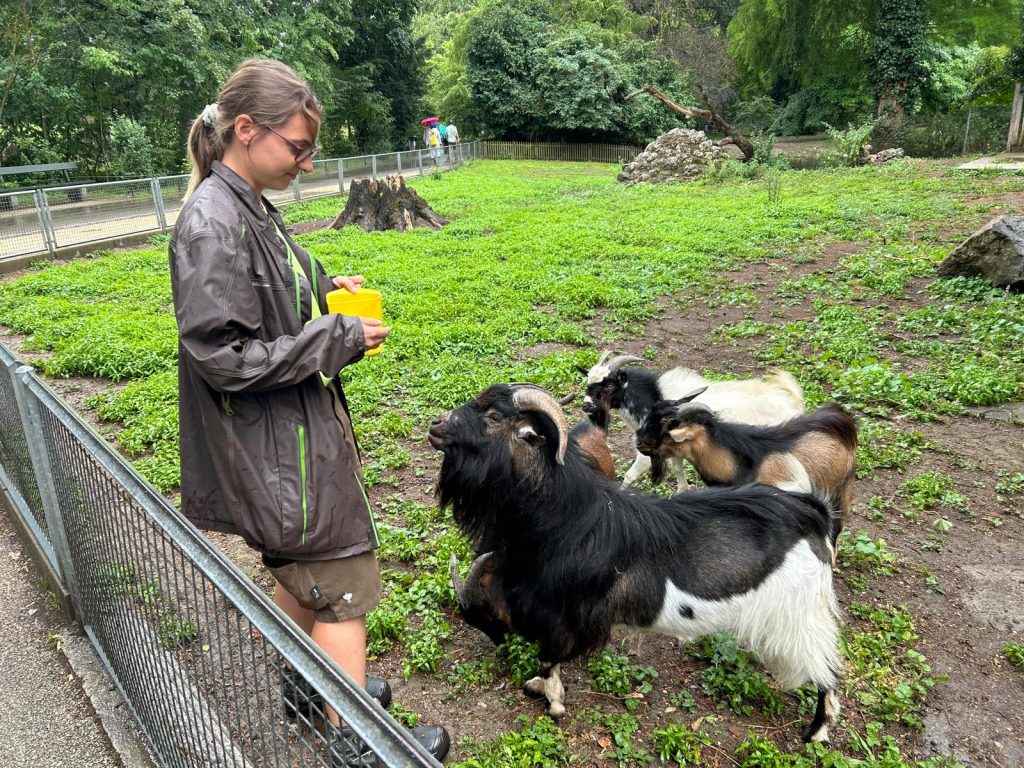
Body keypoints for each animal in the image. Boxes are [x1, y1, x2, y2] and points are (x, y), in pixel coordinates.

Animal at [581, 354, 802, 493]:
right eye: (589, 382)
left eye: (610, 385)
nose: (586, 405)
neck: (653, 396)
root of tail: (791, 403)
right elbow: (677, 468)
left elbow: (630, 475)